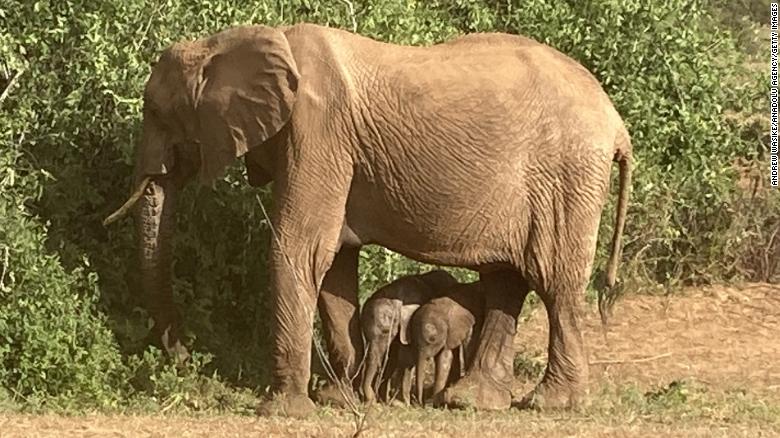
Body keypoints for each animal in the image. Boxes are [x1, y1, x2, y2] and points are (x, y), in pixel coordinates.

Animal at [362, 270, 460, 404]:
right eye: (365, 335)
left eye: (385, 332)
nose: (370, 399)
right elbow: (393, 358)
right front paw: (386, 401)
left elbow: (406, 358)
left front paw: (400, 402)